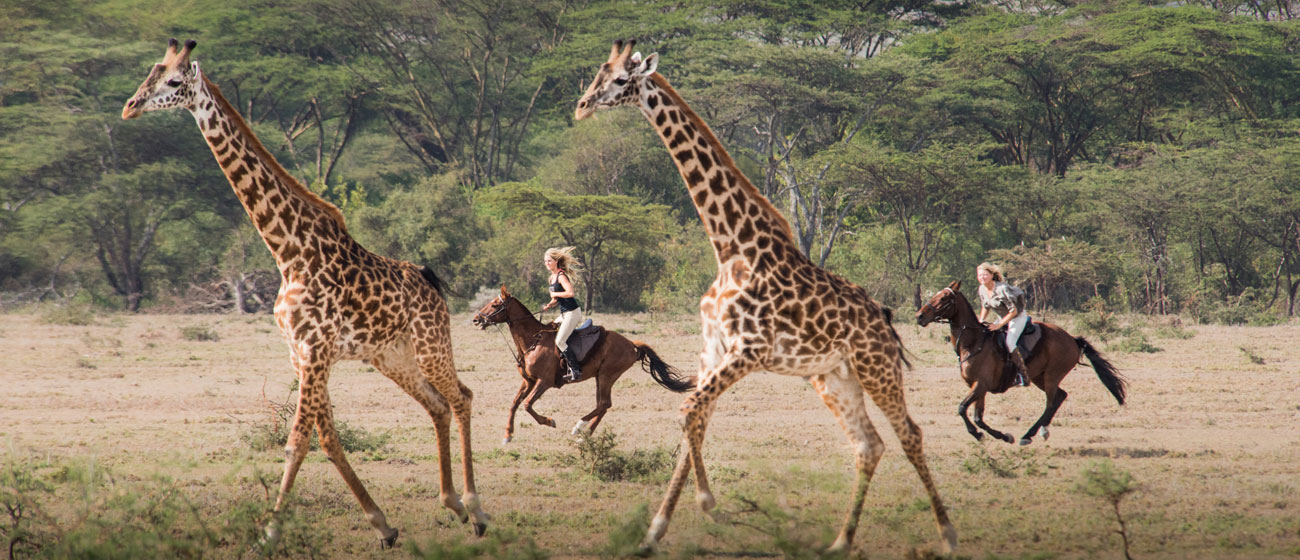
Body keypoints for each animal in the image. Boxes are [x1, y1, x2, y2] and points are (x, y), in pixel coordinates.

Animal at [122, 39, 488, 548]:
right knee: (437, 404)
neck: (287, 250)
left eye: (174, 81)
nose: (130, 106)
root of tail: (431, 282)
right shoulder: (300, 353)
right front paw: (383, 524)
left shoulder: (315, 350)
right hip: (391, 355)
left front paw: (270, 532)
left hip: (431, 345)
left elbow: (297, 441)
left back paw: (475, 509)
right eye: (149, 73)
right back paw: (451, 502)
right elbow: (328, 438)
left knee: (462, 397)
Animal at [473, 287, 696, 444]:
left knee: (604, 404)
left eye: (495, 305)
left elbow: (527, 404)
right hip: (600, 377)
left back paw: (579, 427)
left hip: (607, 375)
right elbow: (514, 404)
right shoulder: (528, 381)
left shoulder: (543, 382)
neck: (532, 341)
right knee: (603, 405)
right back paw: (584, 435)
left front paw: (549, 421)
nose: (476, 319)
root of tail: (631, 344)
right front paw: (507, 435)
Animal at [574, 40, 961, 556]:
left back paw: (948, 535)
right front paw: (655, 531)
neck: (731, 246)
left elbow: (689, 412)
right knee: (869, 445)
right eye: (600, 72)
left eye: (620, 80)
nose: (581, 106)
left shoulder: (750, 350)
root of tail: (885, 322)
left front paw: (707, 504)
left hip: (875, 368)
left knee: (910, 435)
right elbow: (696, 416)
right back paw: (840, 541)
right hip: (832, 378)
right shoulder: (712, 349)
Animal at [915, 280, 1128, 446]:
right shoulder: (977, 386)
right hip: (1039, 377)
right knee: (1060, 396)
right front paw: (1002, 436)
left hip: (1052, 376)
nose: (919, 316)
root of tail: (1073, 339)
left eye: (943, 298)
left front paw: (979, 435)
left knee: (1051, 402)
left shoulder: (981, 384)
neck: (973, 343)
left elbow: (962, 409)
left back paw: (1031, 434)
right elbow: (978, 417)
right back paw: (1037, 432)